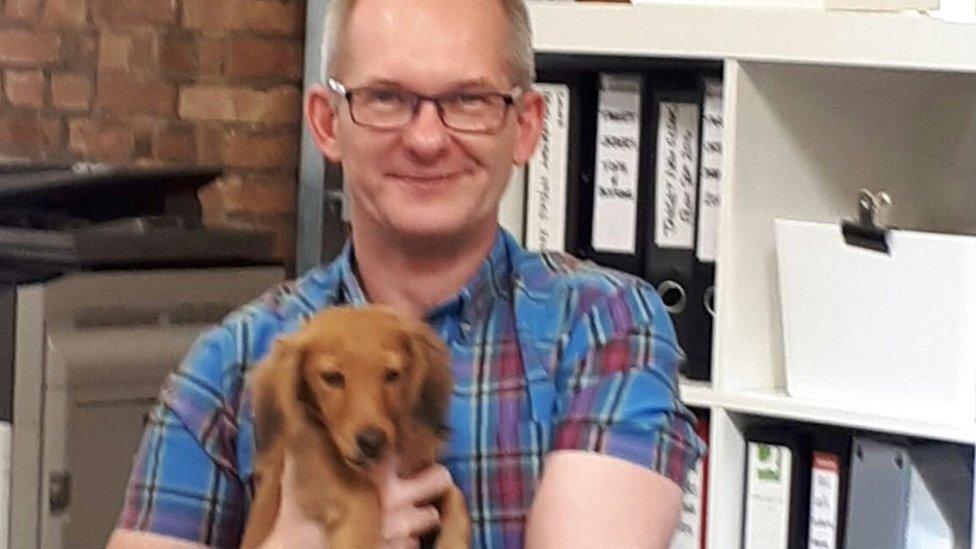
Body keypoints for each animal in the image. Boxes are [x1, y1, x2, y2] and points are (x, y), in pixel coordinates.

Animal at [243, 306, 472, 544]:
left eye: (392, 375)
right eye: (332, 377)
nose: (372, 442)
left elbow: (455, 496)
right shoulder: (307, 461)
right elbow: (359, 495)